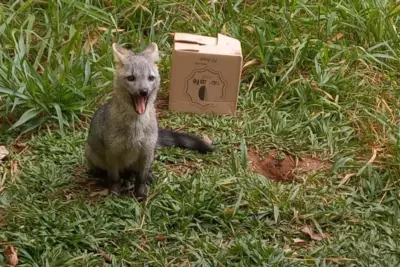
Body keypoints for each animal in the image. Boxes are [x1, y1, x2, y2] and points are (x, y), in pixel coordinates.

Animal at [83, 42, 212, 201]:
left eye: (150, 78)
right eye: (131, 78)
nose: (143, 91)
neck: (135, 130)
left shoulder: (146, 150)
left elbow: (141, 178)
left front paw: (141, 193)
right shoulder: (112, 152)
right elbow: (114, 178)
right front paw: (114, 192)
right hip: (94, 156)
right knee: (111, 172)